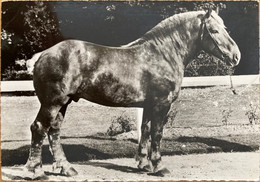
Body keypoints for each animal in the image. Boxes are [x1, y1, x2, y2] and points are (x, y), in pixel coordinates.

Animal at [23, 8, 240, 178]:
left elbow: (145, 130)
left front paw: (143, 164)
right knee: (39, 128)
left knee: (54, 131)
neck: (163, 54)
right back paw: (36, 171)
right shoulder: (162, 104)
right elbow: (157, 133)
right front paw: (159, 166)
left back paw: (67, 169)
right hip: (53, 102)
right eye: (213, 30)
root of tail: (42, 55)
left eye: (225, 28)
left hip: (64, 103)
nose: (236, 56)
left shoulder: (148, 105)